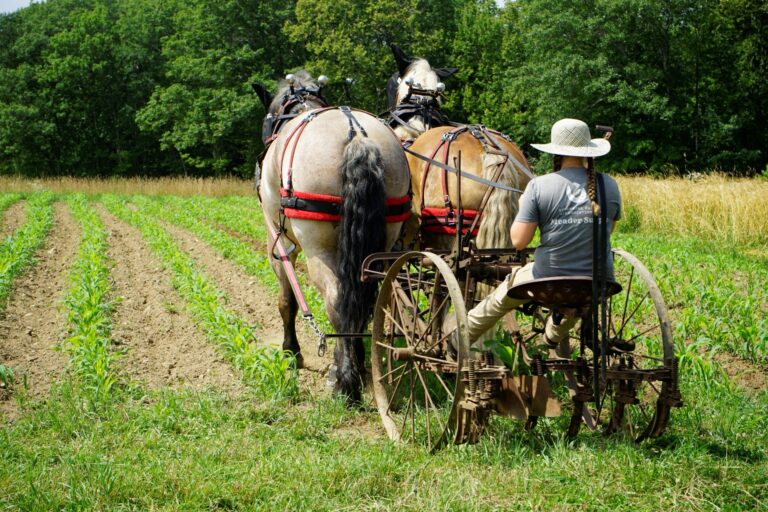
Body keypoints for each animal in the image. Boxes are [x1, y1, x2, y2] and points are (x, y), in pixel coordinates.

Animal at [253, 71, 411, 403]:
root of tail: (357, 137)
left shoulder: (280, 242)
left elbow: (287, 300)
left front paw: (291, 353)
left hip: (318, 247)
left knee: (337, 300)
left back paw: (345, 381)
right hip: (382, 240)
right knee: (363, 300)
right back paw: (357, 365)